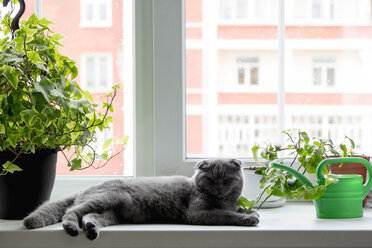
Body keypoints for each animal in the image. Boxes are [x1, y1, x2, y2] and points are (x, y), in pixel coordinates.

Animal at [23, 159, 258, 240]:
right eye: (210, 179)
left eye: (227, 179)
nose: (218, 188)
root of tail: (86, 187)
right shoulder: (198, 213)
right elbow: (225, 215)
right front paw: (248, 218)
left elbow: (234, 210)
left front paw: (249, 211)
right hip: (107, 198)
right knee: (70, 212)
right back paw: (72, 228)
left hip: (111, 213)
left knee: (89, 216)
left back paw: (90, 230)